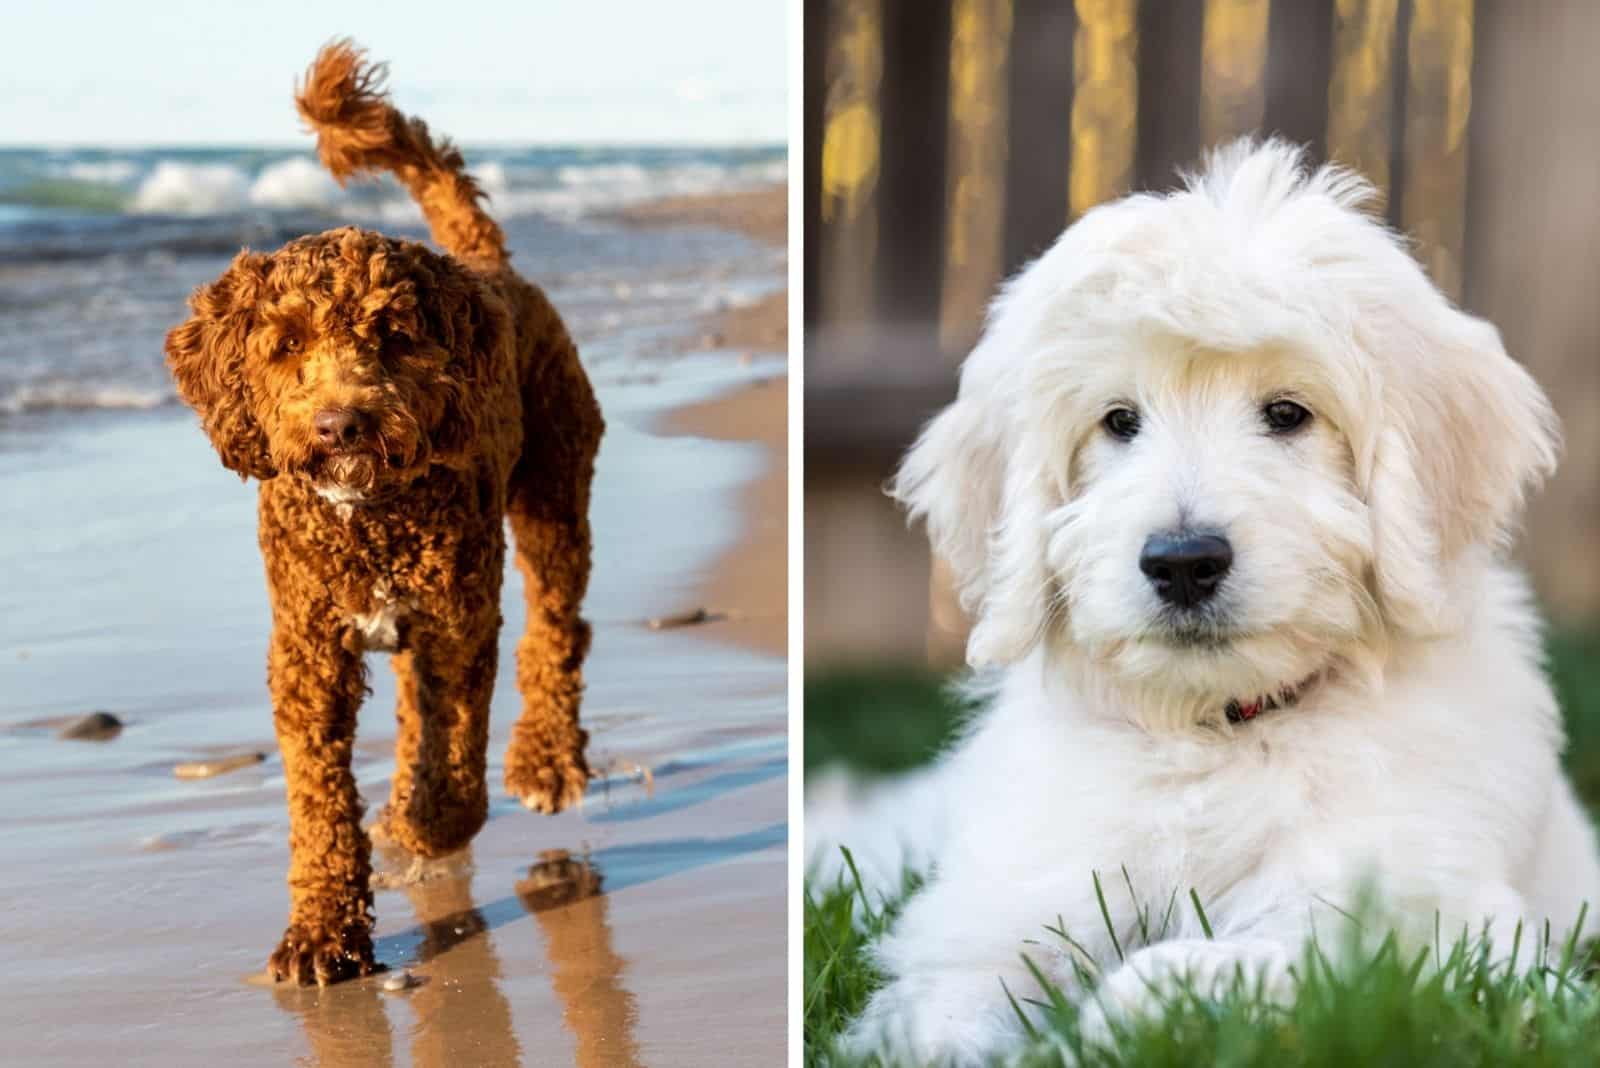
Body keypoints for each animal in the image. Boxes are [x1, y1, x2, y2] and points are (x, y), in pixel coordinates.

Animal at [167, 43, 604, 984]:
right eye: (286, 343)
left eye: (394, 336)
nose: (343, 424)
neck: (366, 518)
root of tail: (486, 264)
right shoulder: (308, 653)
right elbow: (321, 801)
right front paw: (322, 932)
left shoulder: (459, 625)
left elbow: (455, 767)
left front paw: (421, 825)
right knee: (417, 705)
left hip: (555, 495)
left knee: (558, 631)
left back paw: (544, 760)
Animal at [812, 139, 1600, 1061]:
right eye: (1120, 421)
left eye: (1287, 413)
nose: (1184, 562)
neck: (1216, 734)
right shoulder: (1004, 904)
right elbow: (948, 1001)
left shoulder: (1415, 923)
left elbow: (1234, 964)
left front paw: (1106, 1023)